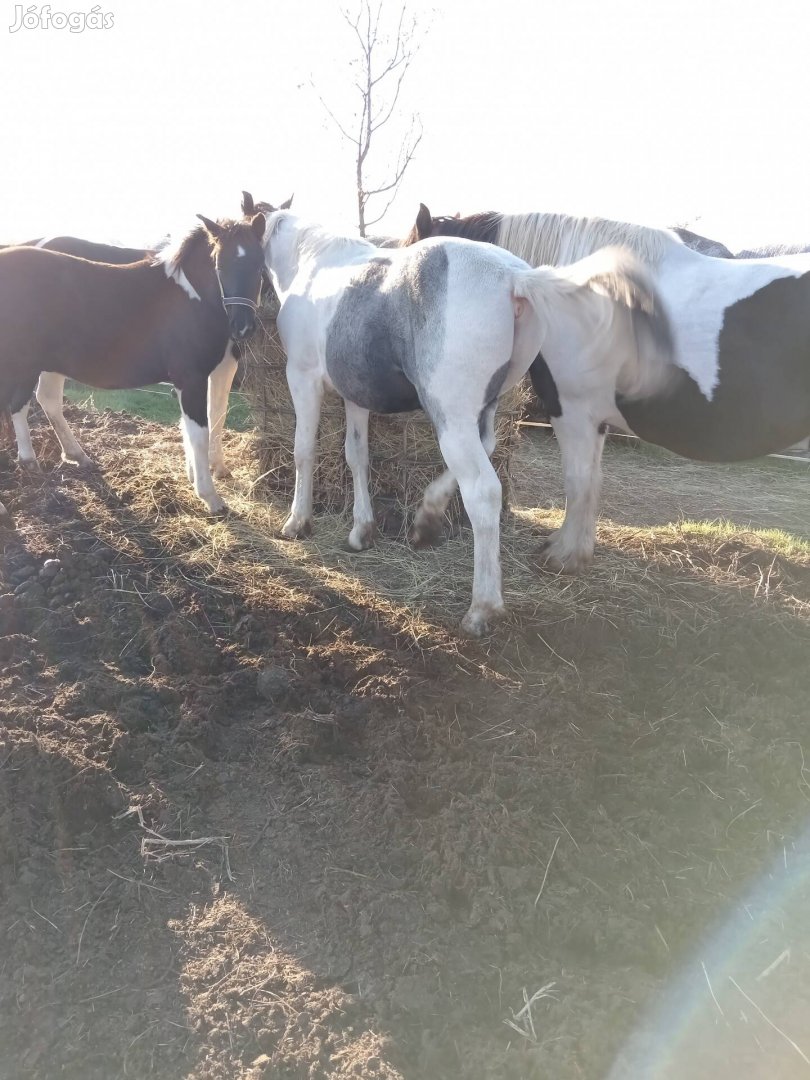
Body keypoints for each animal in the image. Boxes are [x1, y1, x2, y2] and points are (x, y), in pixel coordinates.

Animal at [0, 211, 266, 518]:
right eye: (219, 264)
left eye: (260, 265)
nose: (243, 327)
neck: (190, 298)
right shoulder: (192, 378)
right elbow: (200, 431)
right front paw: (210, 497)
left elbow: (194, 428)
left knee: (30, 403)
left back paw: (50, 460)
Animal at [263, 210, 673, 630]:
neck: (313, 261)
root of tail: (515, 278)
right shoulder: (355, 396)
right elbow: (356, 456)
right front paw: (362, 530)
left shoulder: (302, 377)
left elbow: (304, 450)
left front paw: (297, 522)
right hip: (482, 411)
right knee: (493, 450)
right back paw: (428, 518)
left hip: (455, 419)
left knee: (483, 491)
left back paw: (482, 607)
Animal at [408, 204, 810, 574]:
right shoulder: (592, 417)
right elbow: (592, 480)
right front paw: (575, 547)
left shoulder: (571, 411)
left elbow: (577, 479)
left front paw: (564, 555)